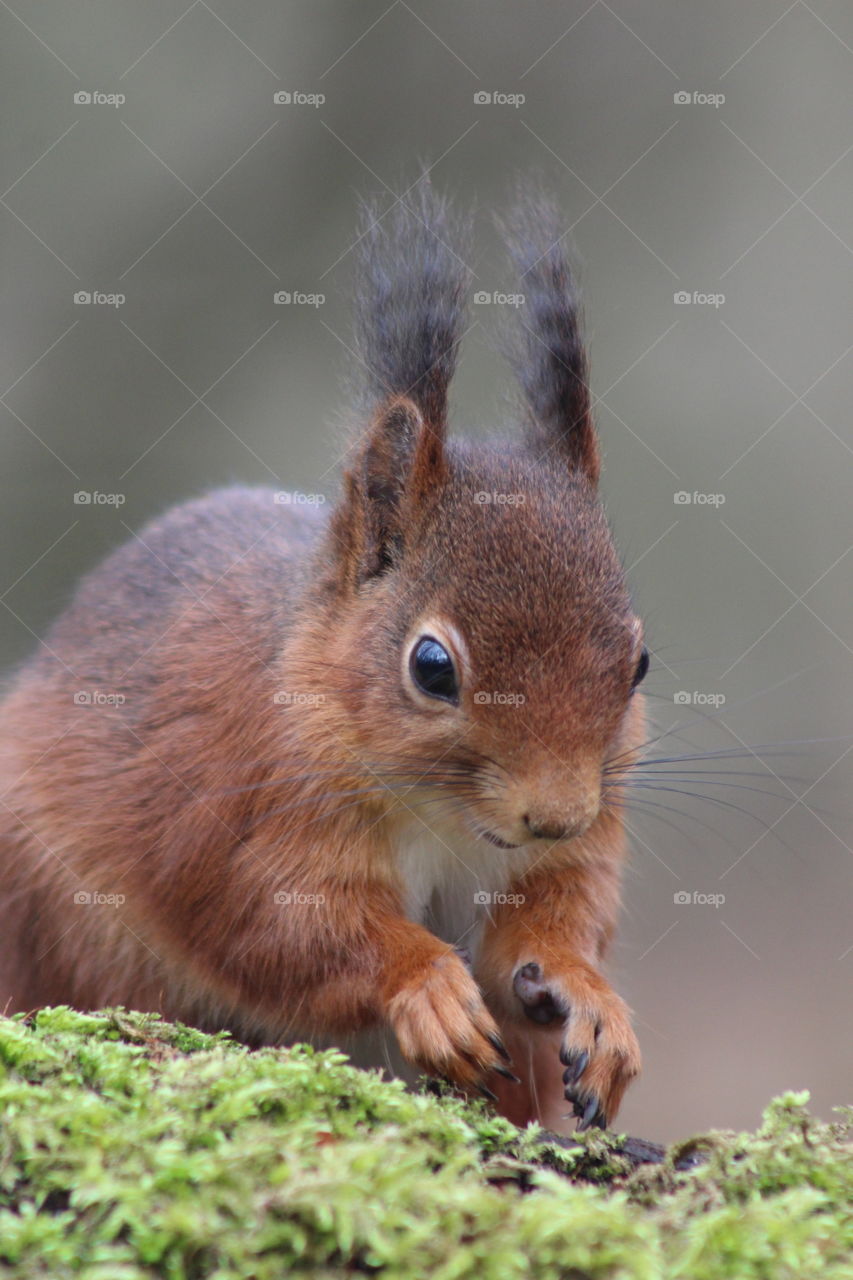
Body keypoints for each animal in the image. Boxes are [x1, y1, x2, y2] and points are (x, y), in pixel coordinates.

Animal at [0, 183, 648, 1133]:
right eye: (431, 667)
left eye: (640, 662)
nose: (557, 815)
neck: (443, 816)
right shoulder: (241, 813)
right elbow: (286, 930)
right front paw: (427, 988)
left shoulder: (574, 849)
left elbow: (555, 921)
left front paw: (586, 998)